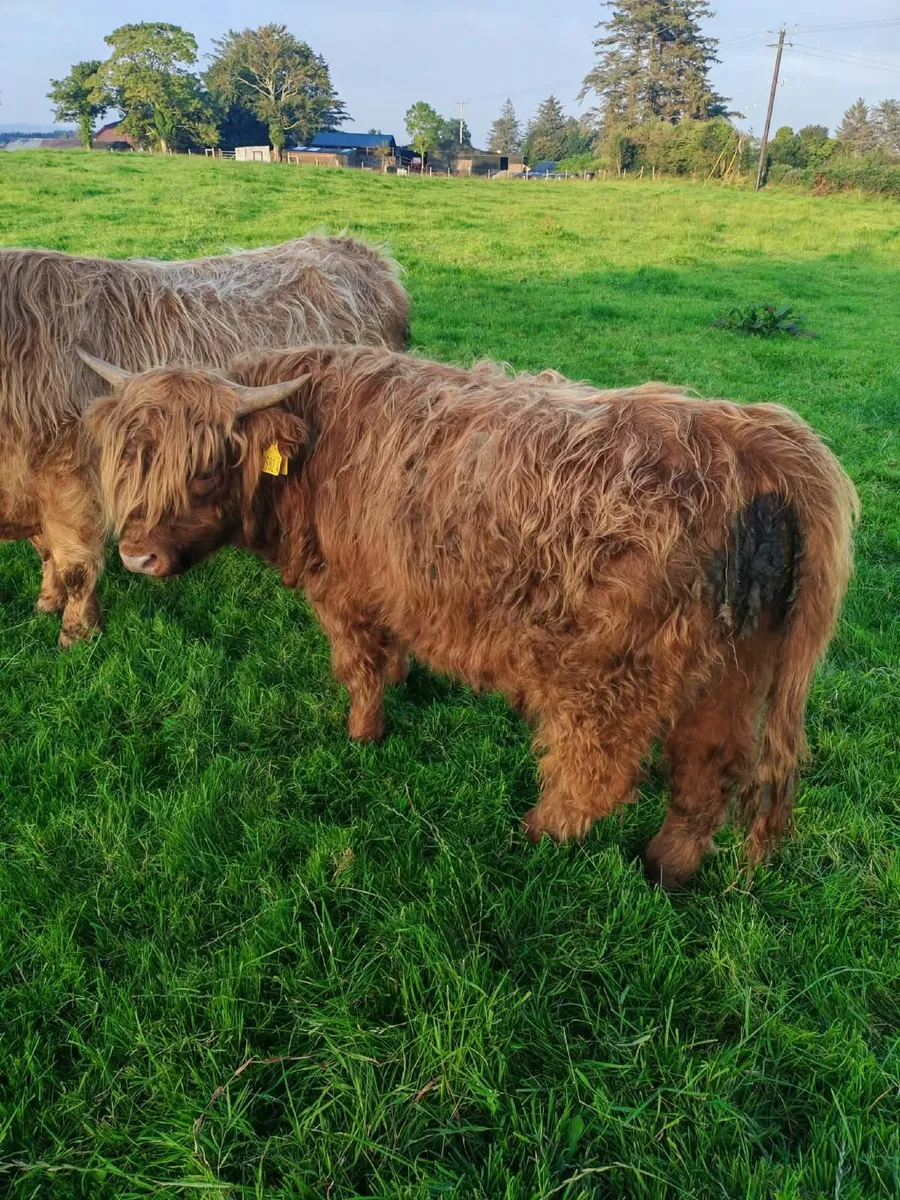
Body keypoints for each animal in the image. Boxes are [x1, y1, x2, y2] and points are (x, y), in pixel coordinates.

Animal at [0, 236, 409, 647]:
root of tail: (361, 254)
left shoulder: (74, 489)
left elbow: (76, 566)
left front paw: (77, 633)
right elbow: (47, 555)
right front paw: (47, 602)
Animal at [80, 344, 858, 887]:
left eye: (204, 467)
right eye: (128, 463)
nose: (136, 556)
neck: (316, 451)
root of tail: (752, 440)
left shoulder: (345, 593)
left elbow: (360, 667)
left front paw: (364, 736)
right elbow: (390, 654)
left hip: (610, 673)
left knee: (594, 773)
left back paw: (530, 840)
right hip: (737, 665)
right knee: (708, 771)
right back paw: (664, 870)